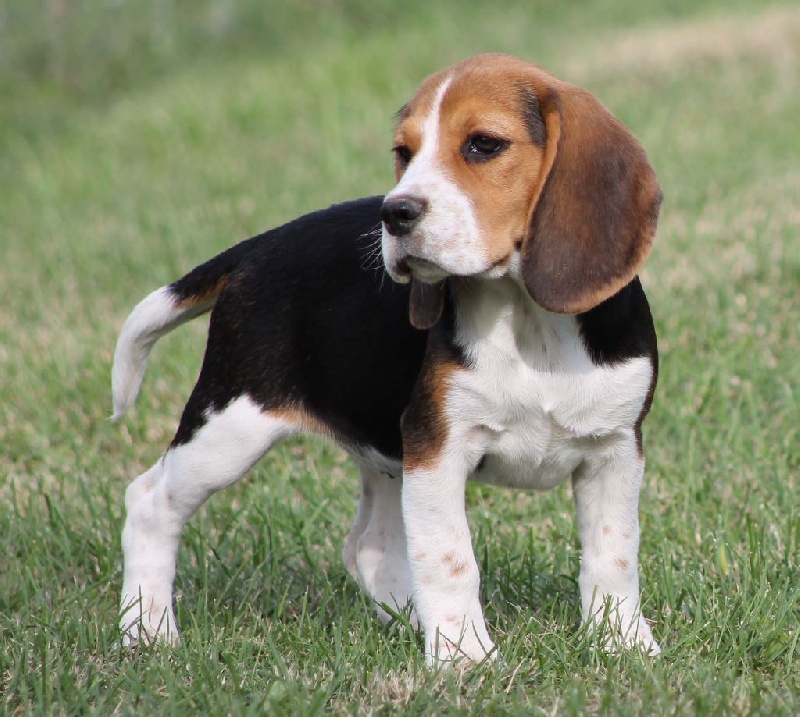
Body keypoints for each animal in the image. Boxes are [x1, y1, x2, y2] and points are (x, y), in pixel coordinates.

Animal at [112, 53, 664, 664]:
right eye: (404, 152)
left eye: (483, 145)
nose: (394, 212)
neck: (525, 318)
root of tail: (259, 247)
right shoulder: (437, 446)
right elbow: (449, 557)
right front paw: (463, 656)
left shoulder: (615, 449)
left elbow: (613, 555)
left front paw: (622, 643)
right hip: (229, 427)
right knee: (148, 503)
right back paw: (147, 631)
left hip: (379, 451)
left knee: (369, 547)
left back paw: (409, 620)